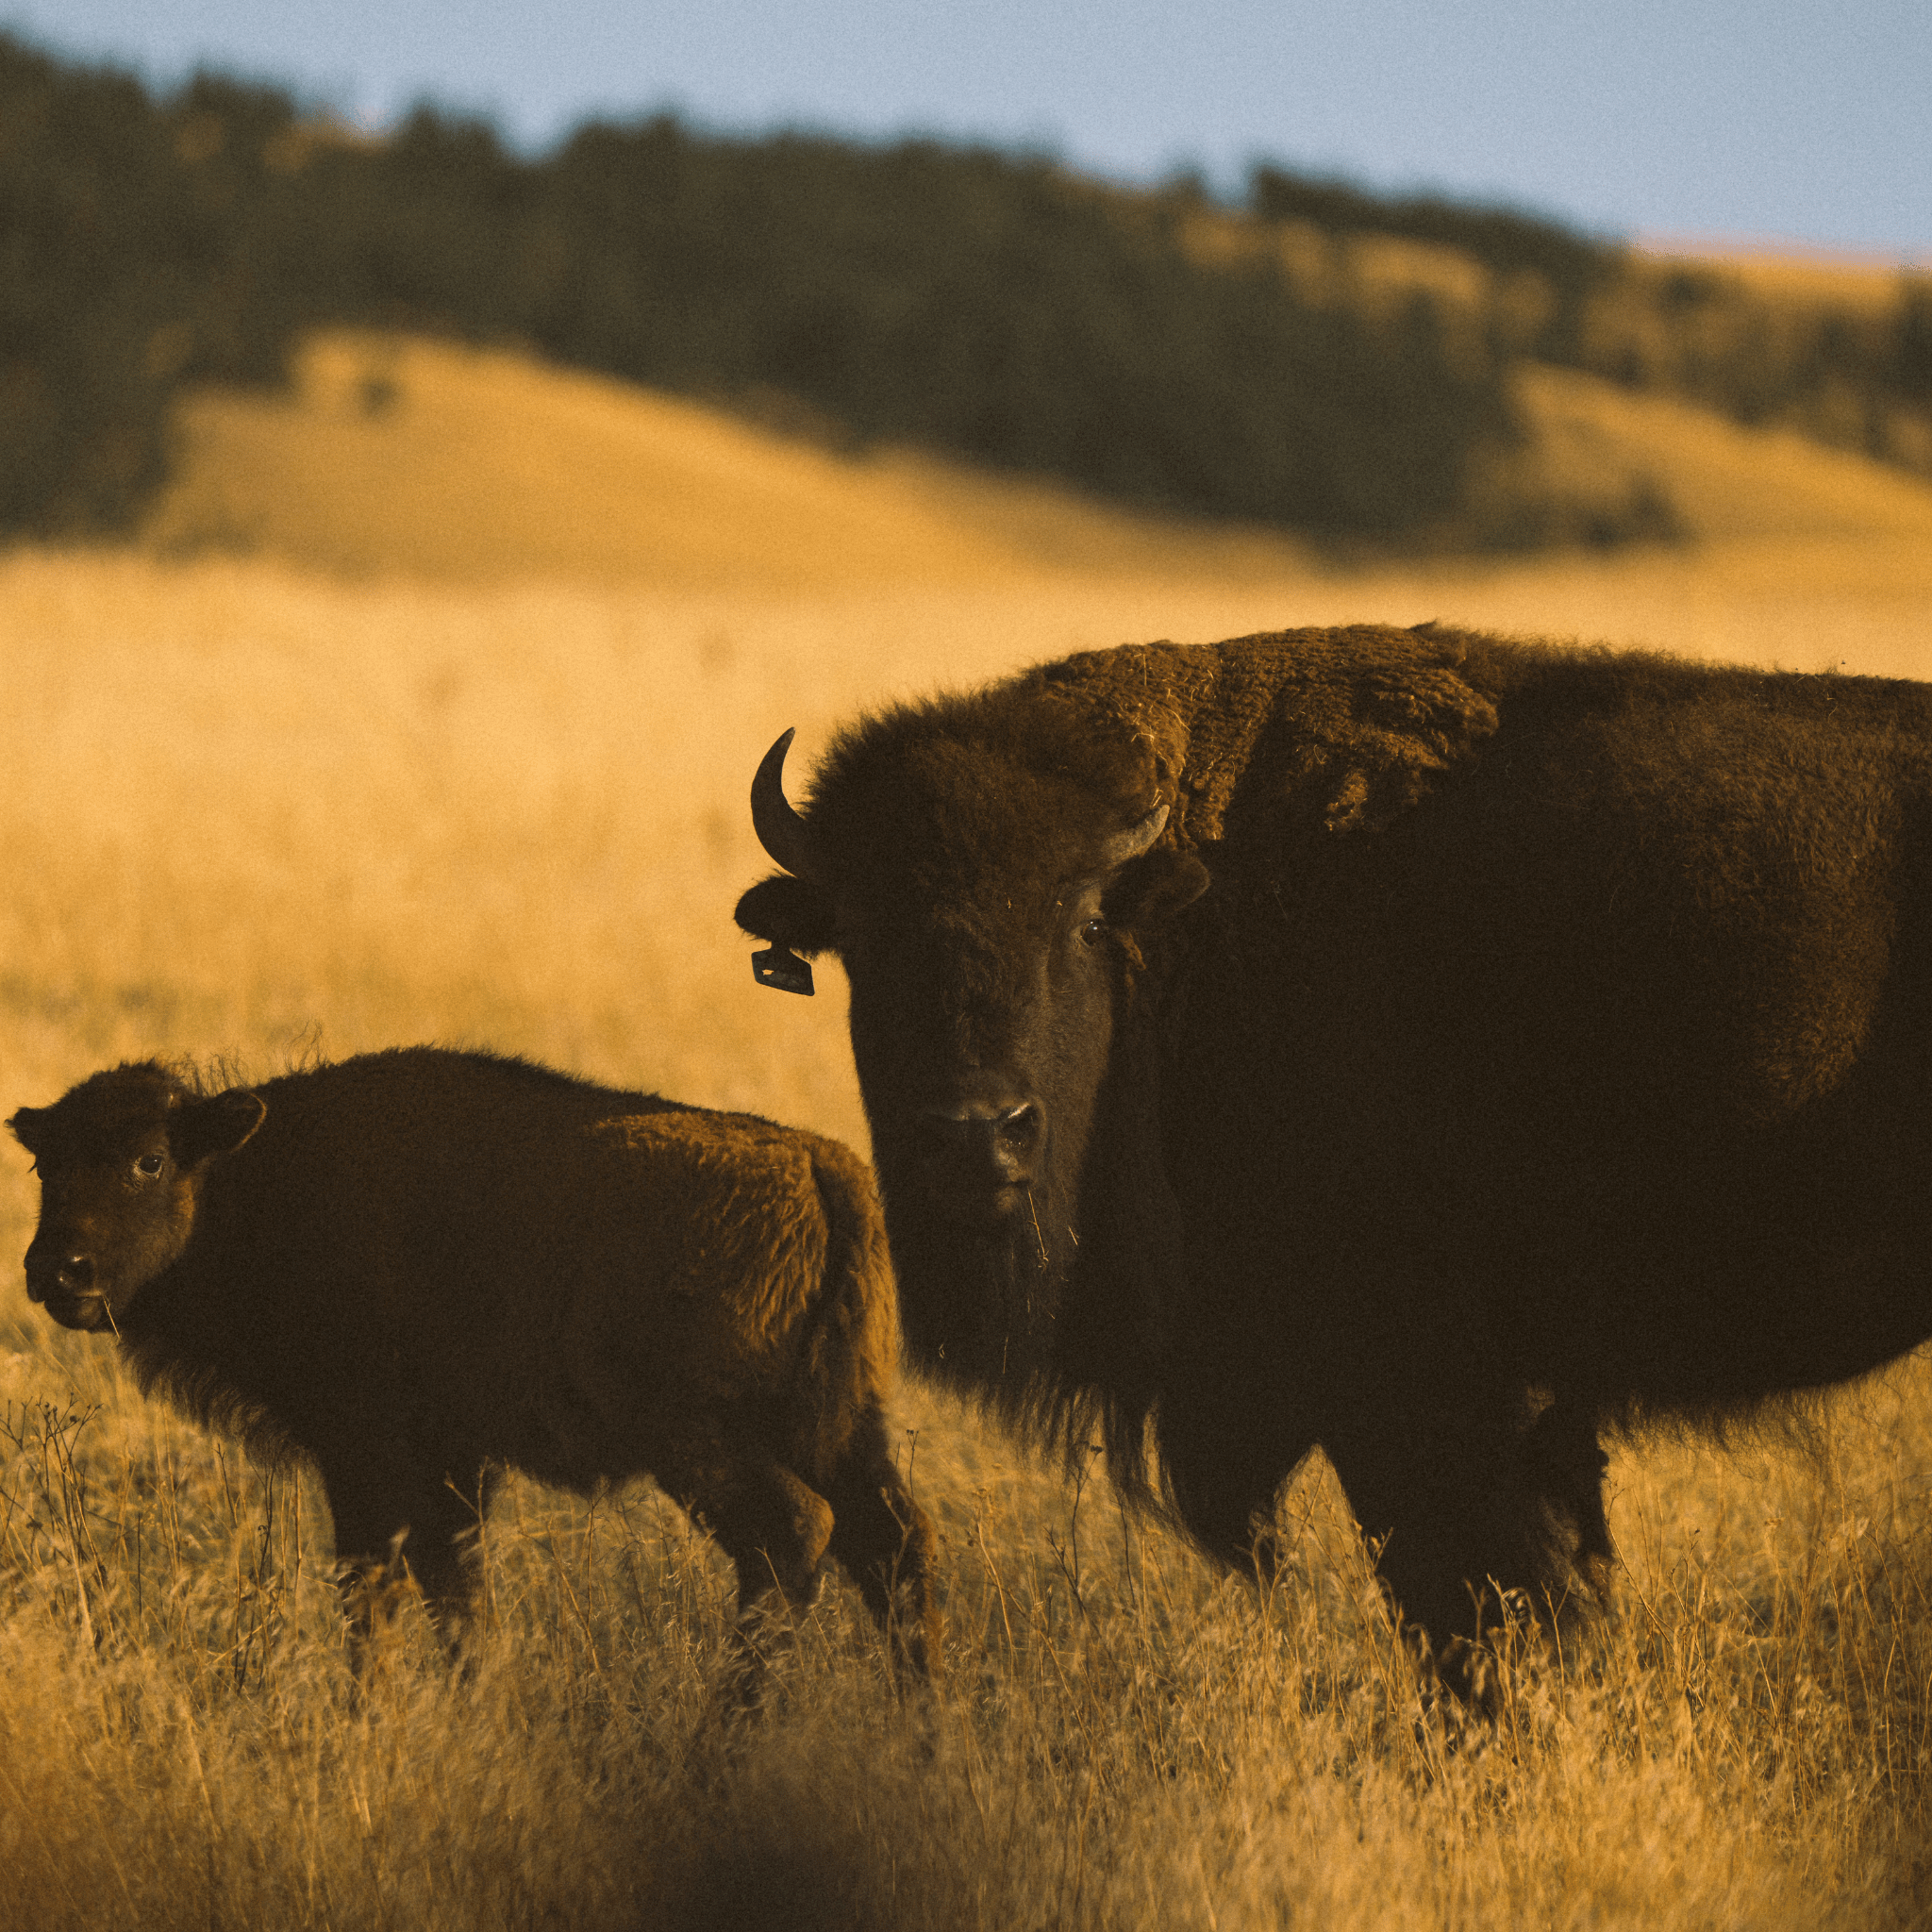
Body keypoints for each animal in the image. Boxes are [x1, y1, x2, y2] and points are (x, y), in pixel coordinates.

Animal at [9, 1048, 939, 1694]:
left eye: (149, 1161)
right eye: (46, 1165)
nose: (59, 1270)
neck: (250, 1178)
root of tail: (821, 1169)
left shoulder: (368, 1454)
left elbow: (378, 1594)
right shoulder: (454, 1467)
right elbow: (457, 1601)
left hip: (696, 1440)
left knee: (793, 1536)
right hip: (842, 1429)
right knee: (894, 1548)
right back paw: (921, 1739)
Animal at [736, 622, 1932, 1675]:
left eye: (1082, 923)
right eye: (859, 937)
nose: (975, 1131)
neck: (1193, 929)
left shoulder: (1425, 1392)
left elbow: (1490, 1617)